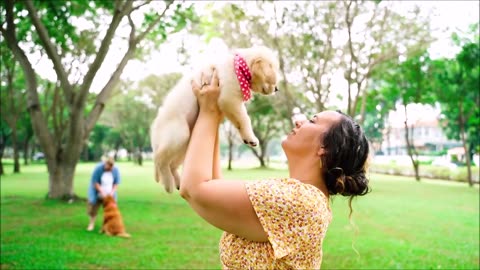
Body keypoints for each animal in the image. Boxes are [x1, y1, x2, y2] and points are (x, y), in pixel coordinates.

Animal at [151, 46, 282, 192]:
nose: (277, 89)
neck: (238, 67)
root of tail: (154, 133)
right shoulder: (229, 98)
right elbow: (245, 118)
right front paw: (251, 137)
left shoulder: (230, 103)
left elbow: (239, 121)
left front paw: (247, 138)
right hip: (179, 135)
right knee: (159, 159)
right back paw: (168, 184)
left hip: (185, 146)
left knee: (171, 164)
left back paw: (178, 182)